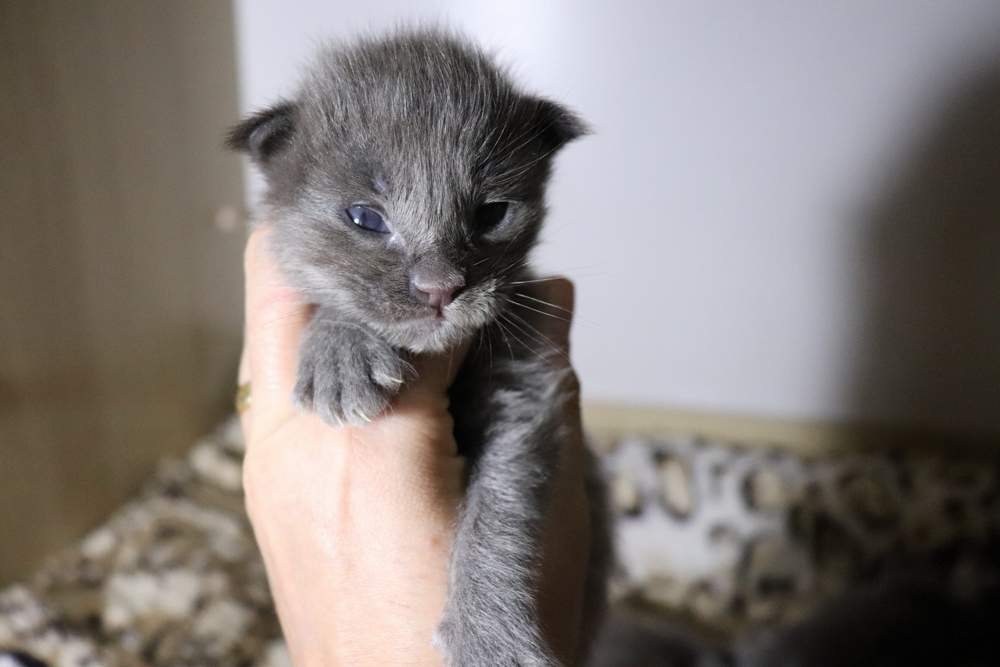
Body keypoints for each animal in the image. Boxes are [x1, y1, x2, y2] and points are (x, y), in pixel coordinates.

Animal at [228, 29, 610, 667]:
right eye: (366, 218)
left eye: (492, 213)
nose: (441, 287)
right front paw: (341, 349)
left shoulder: (523, 391)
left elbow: (501, 510)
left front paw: (490, 637)